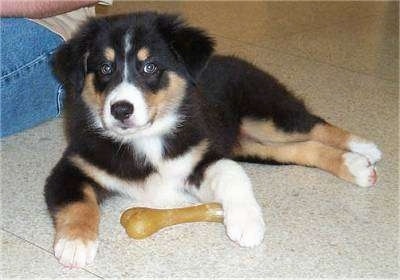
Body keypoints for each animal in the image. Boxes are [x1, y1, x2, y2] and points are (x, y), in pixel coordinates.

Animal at [43, 12, 382, 268]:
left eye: (150, 66)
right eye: (104, 68)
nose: (121, 109)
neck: (147, 139)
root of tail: (240, 60)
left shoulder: (201, 155)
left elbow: (232, 174)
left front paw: (246, 222)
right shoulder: (74, 166)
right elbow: (76, 202)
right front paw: (76, 242)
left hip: (264, 115)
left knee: (313, 125)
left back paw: (363, 149)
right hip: (251, 145)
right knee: (304, 149)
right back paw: (356, 166)